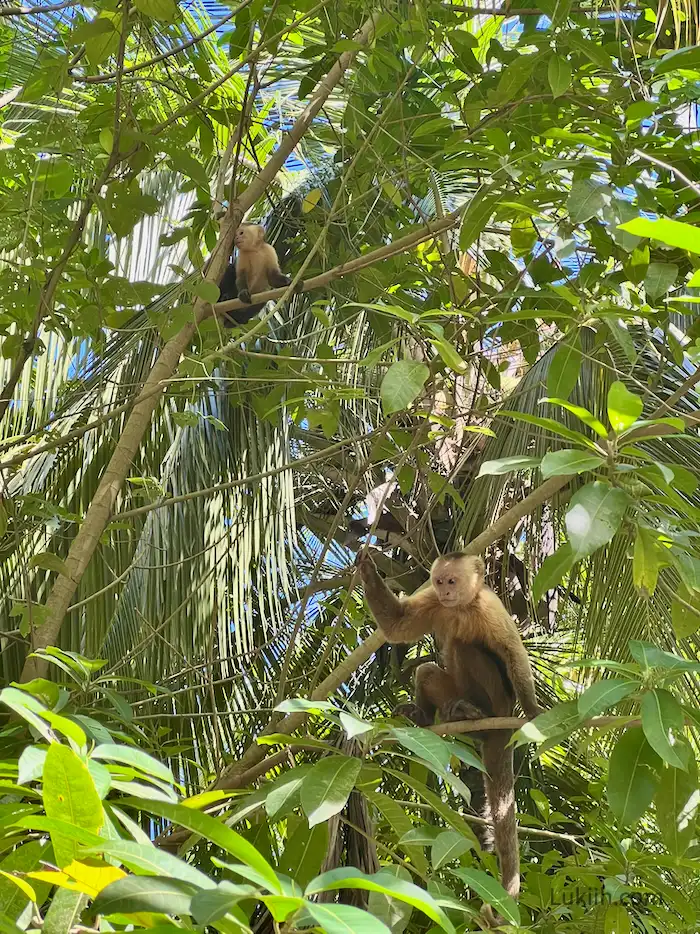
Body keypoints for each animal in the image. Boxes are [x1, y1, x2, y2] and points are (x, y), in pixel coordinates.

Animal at [356, 552, 540, 924]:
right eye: (439, 582)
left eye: (452, 581)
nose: (446, 592)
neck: (461, 607)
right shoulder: (433, 603)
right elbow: (398, 626)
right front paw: (367, 567)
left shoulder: (490, 607)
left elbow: (513, 655)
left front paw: (533, 710)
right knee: (428, 671)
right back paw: (435, 716)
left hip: (499, 702)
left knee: (467, 648)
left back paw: (475, 712)